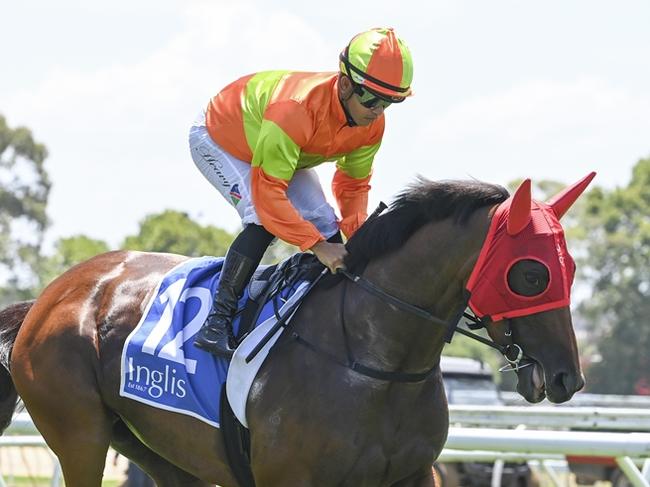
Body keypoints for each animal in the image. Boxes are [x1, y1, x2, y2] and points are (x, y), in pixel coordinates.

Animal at [0, 177, 588, 486]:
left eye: (572, 266)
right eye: (531, 275)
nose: (568, 379)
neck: (373, 362)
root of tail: (52, 295)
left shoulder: (414, 475)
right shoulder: (290, 478)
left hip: (155, 448)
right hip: (79, 434)